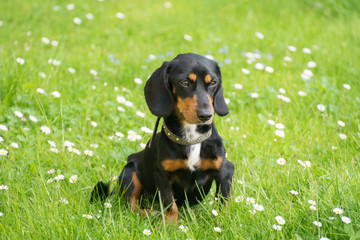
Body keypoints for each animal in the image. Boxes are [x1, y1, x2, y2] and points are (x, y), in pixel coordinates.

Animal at [91, 52, 235, 223]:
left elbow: (222, 203)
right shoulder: (163, 176)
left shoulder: (225, 171)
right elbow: (170, 206)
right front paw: (169, 225)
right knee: (131, 206)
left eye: (213, 82)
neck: (191, 137)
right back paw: (151, 213)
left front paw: (221, 222)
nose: (206, 115)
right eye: (185, 82)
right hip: (130, 172)